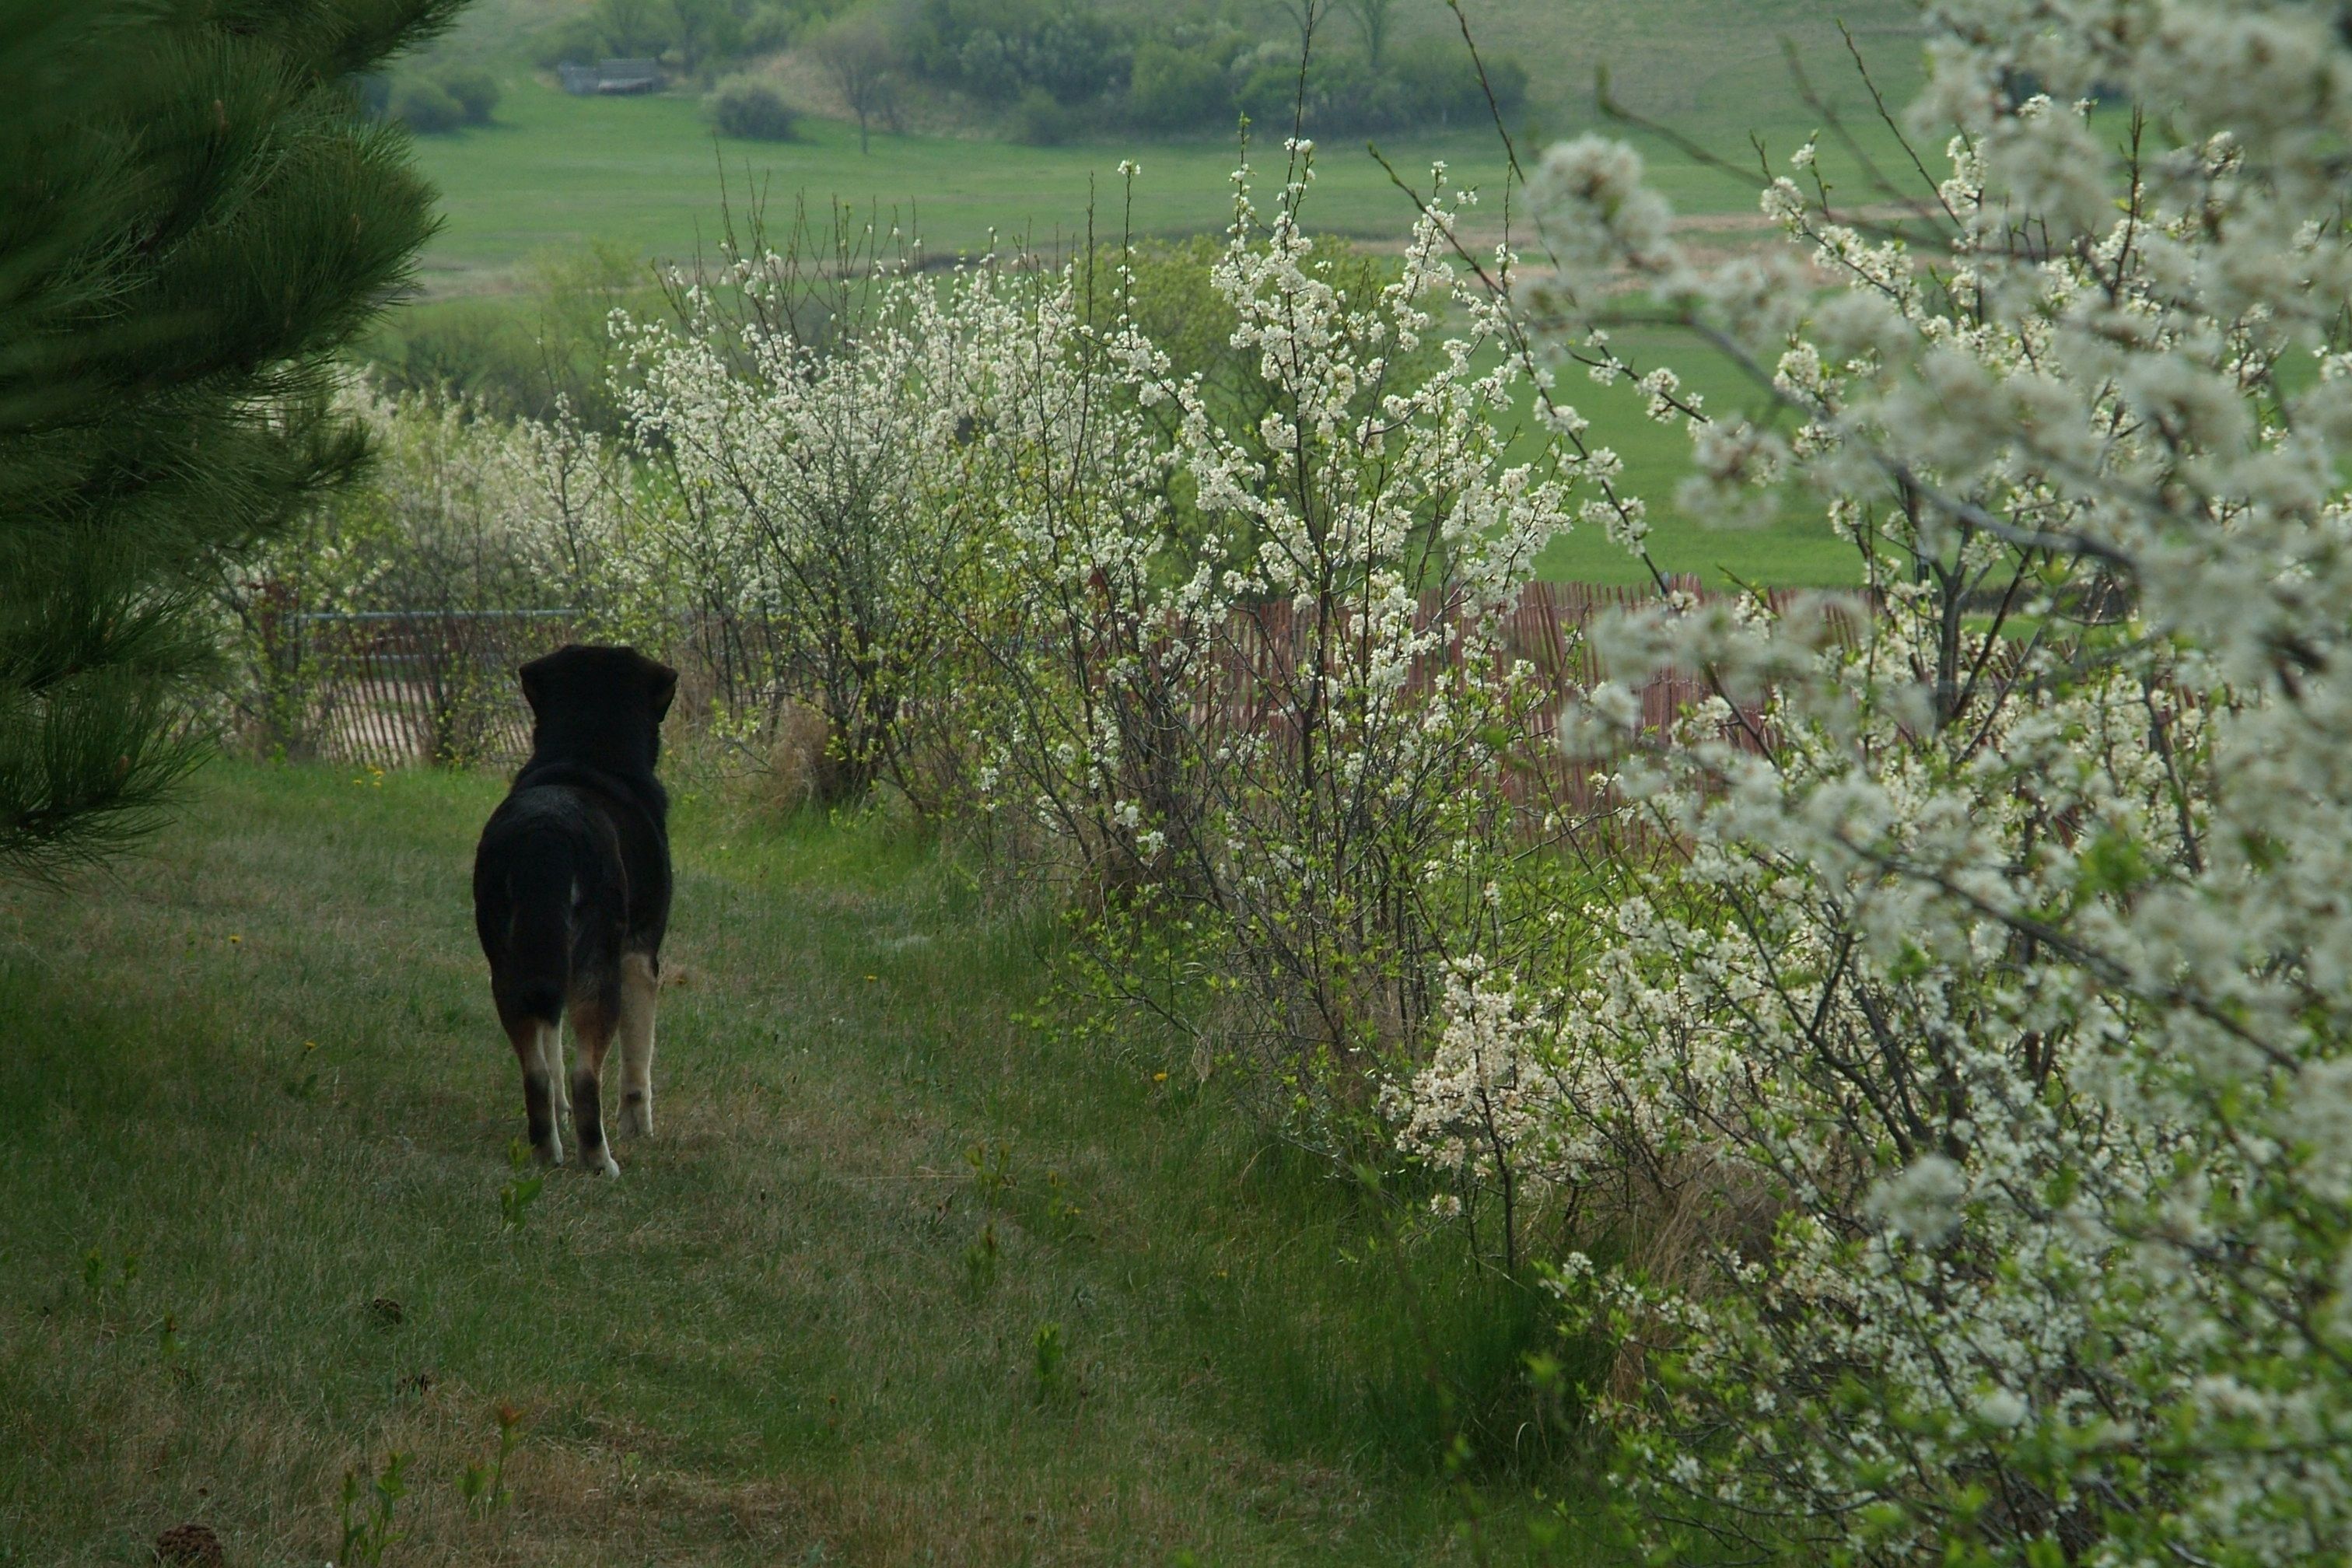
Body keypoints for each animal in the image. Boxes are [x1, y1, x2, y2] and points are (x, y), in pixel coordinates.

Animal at [465, 644, 672, 1171]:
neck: (585, 755)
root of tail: (547, 834)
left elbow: (552, 1048)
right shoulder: (640, 958)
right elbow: (638, 1062)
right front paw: (640, 1129)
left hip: (509, 966)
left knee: (537, 1071)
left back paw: (546, 1151)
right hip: (600, 971)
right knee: (587, 1077)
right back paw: (600, 1160)